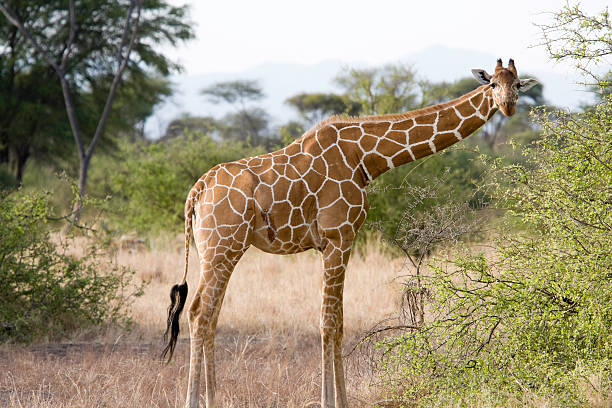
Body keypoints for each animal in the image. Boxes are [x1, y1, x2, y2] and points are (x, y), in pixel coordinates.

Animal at [161, 59, 536, 408]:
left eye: (517, 84)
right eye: (492, 85)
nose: (508, 106)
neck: (365, 158)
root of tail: (197, 190)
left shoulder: (339, 242)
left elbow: (338, 323)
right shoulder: (337, 238)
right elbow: (330, 323)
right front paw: (332, 401)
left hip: (220, 251)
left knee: (209, 315)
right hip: (222, 247)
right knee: (199, 313)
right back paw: (195, 400)